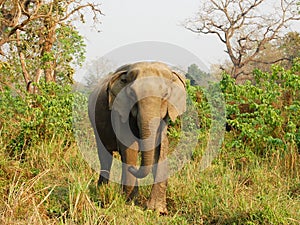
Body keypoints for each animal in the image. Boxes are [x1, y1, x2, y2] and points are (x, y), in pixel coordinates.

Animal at [87, 61, 185, 214]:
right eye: (132, 94)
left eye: (165, 94)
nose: (133, 168)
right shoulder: (120, 111)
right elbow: (129, 147)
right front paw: (129, 201)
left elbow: (161, 148)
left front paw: (158, 210)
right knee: (105, 156)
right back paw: (102, 189)